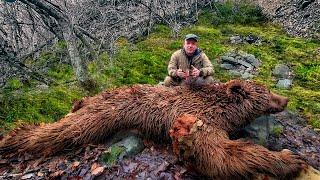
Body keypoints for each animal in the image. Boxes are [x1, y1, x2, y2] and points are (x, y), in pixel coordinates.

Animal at [0, 80, 304, 179]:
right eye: (267, 93)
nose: (286, 100)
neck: (222, 109)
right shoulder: (199, 121)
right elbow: (219, 156)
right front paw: (288, 160)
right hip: (104, 113)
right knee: (65, 130)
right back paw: (12, 138)